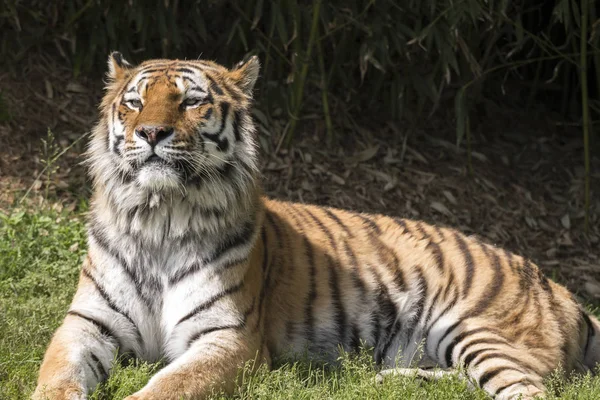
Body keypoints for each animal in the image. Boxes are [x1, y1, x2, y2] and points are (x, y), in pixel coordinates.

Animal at [34, 53, 600, 400]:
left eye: (191, 101)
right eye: (134, 102)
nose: (151, 132)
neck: (159, 216)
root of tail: (559, 287)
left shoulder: (228, 338)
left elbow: (165, 388)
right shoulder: (86, 323)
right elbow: (56, 375)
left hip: (478, 330)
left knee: (529, 391)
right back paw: (391, 381)